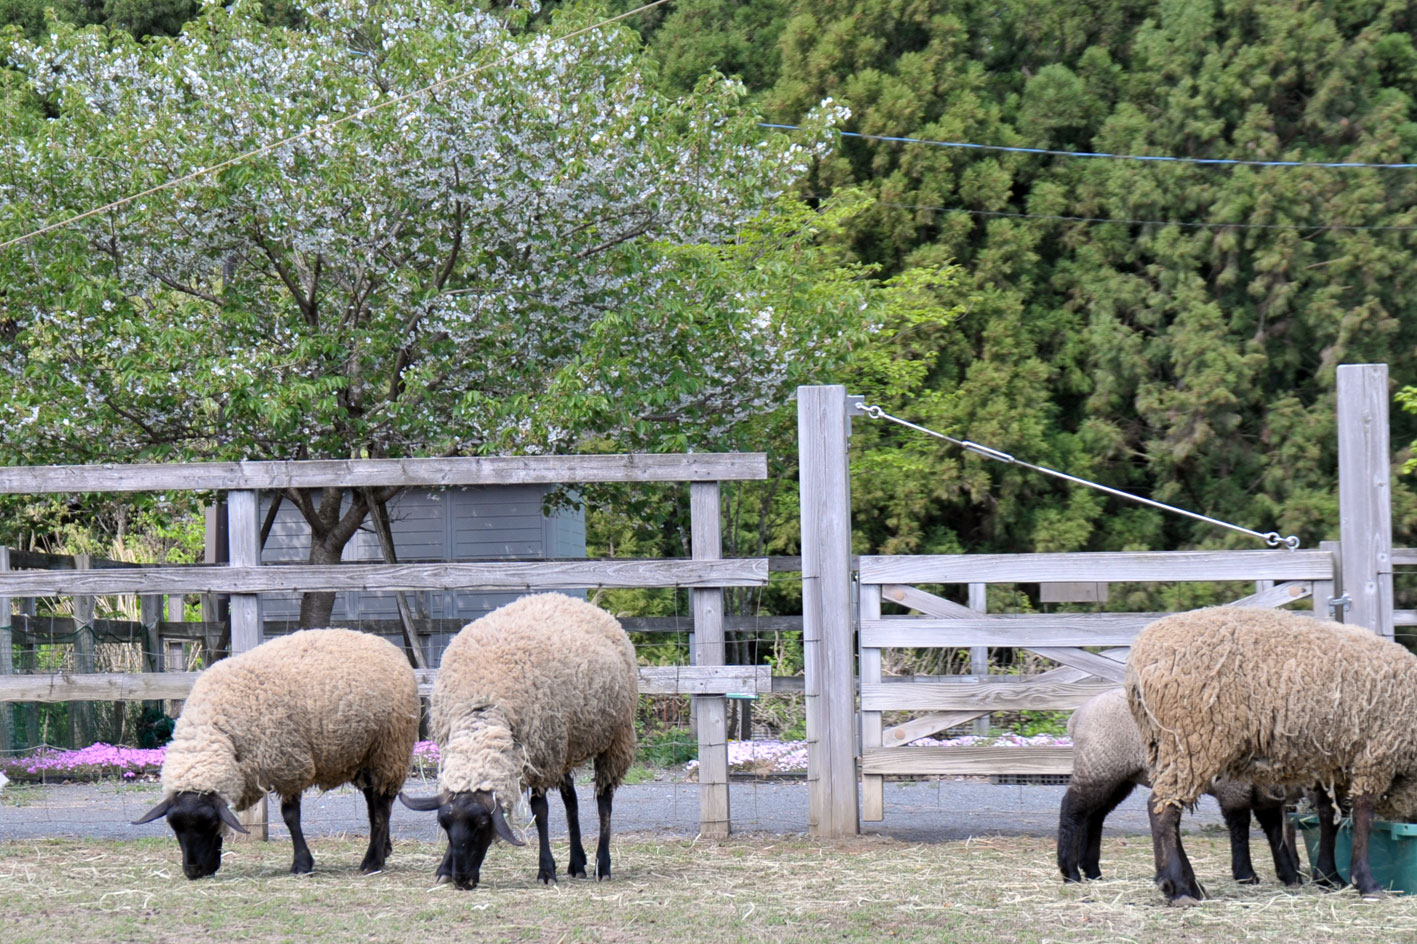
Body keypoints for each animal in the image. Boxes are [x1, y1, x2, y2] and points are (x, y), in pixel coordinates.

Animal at [131, 629, 419, 878]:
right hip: (365, 755)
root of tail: (387, 646)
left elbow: (291, 817)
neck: (218, 728)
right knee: (374, 802)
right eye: (174, 826)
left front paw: (302, 864)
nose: (193, 872)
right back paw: (383, 850)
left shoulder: (289, 764)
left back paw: (372, 862)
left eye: (211, 824)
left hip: (389, 749)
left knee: (382, 806)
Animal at [396, 592, 634, 884]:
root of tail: (569, 598)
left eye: (483, 824)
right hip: (564, 744)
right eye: (445, 823)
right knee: (572, 801)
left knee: (604, 802)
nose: (462, 880)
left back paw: (603, 865)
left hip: (614, 739)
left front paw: (546, 870)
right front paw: (443, 871)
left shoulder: (539, 756)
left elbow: (540, 812)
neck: (482, 715)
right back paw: (577, 864)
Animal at [1059, 683, 1297, 884]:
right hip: (1097, 767)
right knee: (1072, 810)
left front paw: (1289, 875)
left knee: (1094, 816)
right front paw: (1246, 874)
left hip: (1118, 777)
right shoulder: (1233, 789)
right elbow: (1240, 829)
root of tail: (1077, 716)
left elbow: (1275, 831)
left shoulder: (1264, 794)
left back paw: (1092, 872)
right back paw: (1070, 873)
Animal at [1116, 606, 1417, 901]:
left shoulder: (1333, 762)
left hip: (1164, 744)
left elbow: (1328, 817)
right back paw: (1178, 888)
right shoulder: (1377, 752)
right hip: (1192, 740)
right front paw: (1366, 883)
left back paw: (1189, 885)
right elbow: (1363, 816)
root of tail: (1137, 660)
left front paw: (1329, 877)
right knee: (1163, 808)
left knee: (1167, 805)